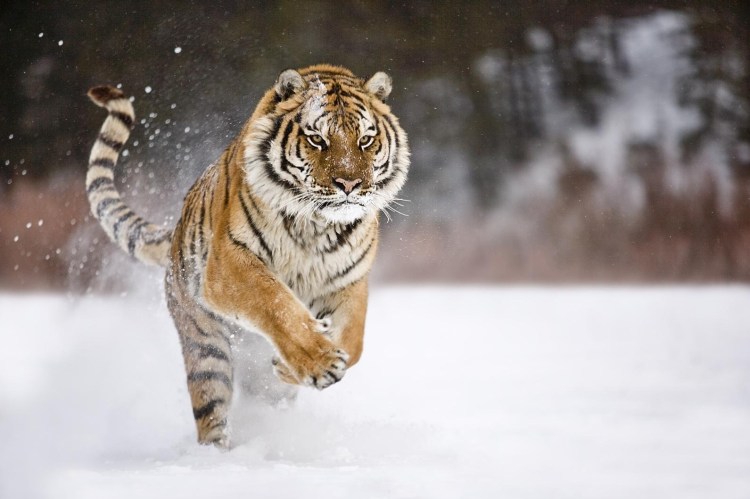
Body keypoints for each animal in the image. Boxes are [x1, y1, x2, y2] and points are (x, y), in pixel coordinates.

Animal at [85, 64, 409, 448]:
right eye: (317, 139)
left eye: (365, 140)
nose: (349, 184)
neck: (316, 225)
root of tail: (176, 230)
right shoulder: (229, 266)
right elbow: (277, 304)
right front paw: (319, 361)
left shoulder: (348, 281)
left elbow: (354, 340)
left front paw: (293, 365)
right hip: (206, 348)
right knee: (211, 410)